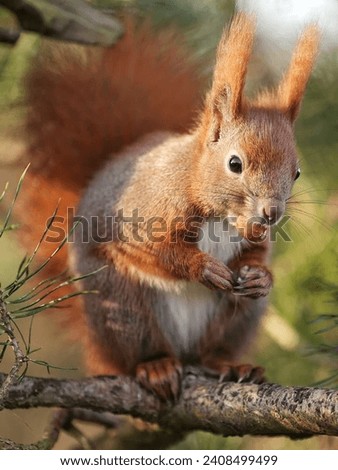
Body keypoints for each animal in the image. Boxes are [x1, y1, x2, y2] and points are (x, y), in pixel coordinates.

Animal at [21, 13, 320, 400]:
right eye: (235, 164)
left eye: (296, 172)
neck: (220, 217)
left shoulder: (252, 236)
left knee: (213, 349)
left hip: (236, 321)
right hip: (122, 307)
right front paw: (201, 267)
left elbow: (256, 255)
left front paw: (260, 276)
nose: (272, 213)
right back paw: (156, 366)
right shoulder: (144, 215)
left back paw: (229, 364)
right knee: (139, 350)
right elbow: (157, 251)